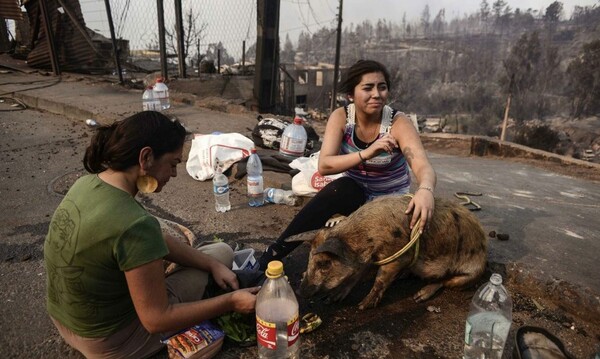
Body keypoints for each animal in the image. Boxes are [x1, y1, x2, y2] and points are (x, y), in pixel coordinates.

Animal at [284, 195, 488, 310]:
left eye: (324, 263)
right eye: (309, 259)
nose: (300, 291)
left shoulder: (397, 255)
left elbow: (380, 280)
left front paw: (362, 307)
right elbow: (356, 275)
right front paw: (332, 299)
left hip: (469, 275)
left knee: (444, 281)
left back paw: (419, 297)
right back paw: (406, 277)